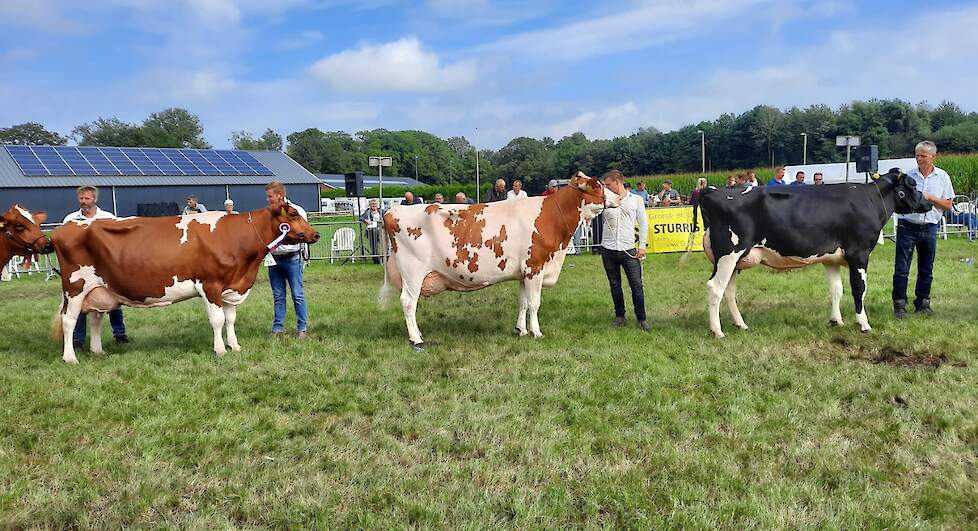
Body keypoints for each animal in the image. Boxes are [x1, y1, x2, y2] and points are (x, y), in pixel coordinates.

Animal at [51, 201, 318, 366]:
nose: (315, 234)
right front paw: (220, 350)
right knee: (69, 321)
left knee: (95, 319)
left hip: (99, 289)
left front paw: (235, 345)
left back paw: (98, 351)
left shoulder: (231, 286)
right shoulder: (209, 284)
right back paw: (70, 358)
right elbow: (217, 319)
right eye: (293, 215)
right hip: (75, 288)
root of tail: (63, 228)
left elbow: (230, 319)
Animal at [382, 172, 616, 352]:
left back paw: (418, 334)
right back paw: (416, 339)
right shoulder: (535, 267)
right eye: (599, 186)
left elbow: (523, 302)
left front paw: (521, 330)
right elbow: (534, 303)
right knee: (408, 302)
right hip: (413, 273)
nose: (619, 196)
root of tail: (392, 211)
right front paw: (537, 332)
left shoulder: (523, 273)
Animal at [688, 168, 932, 338]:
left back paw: (741, 324)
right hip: (729, 254)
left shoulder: (831, 258)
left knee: (728, 291)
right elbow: (859, 289)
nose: (928, 203)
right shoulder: (859, 253)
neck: (870, 200)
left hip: (735, 259)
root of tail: (711, 191)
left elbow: (836, 290)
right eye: (912, 184)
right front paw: (863, 324)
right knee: (715, 288)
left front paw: (836, 321)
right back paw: (717, 331)